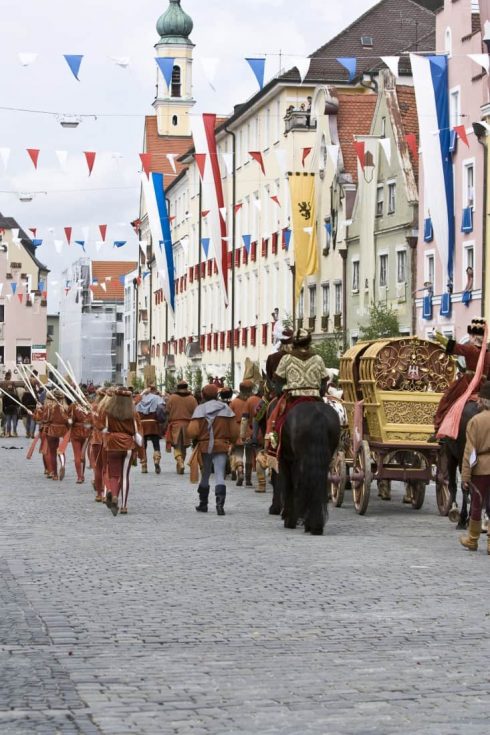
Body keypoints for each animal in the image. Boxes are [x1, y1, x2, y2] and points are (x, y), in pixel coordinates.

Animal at [276, 402, 340, 536]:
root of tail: (317, 414)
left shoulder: (286, 461)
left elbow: (290, 487)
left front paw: (289, 518)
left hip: (296, 461)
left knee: (298, 486)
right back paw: (315, 524)